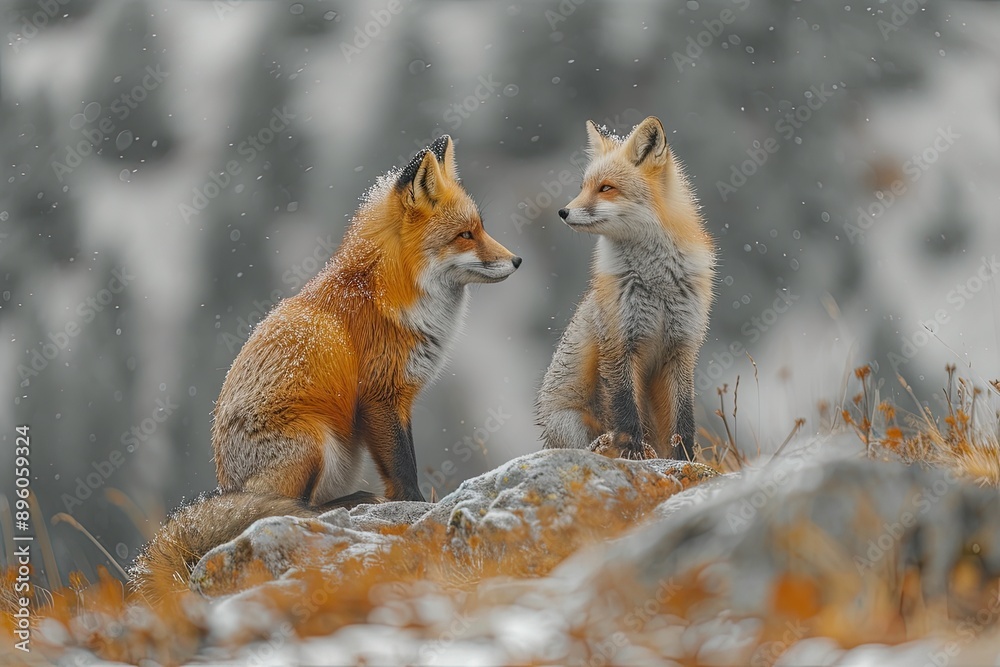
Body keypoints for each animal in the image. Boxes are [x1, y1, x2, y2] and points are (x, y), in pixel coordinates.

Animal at [131, 135, 521, 602]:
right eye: (465, 235)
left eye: (481, 228)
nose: (517, 260)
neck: (389, 294)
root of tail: (230, 484)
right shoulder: (379, 397)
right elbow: (403, 467)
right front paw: (418, 507)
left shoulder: (399, 400)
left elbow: (402, 461)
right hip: (314, 441)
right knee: (294, 510)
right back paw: (345, 505)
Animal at [536, 116, 715, 461]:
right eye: (583, 187)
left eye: (606, 188)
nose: (563, 212)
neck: (657, 284)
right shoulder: (618, 343)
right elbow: (625, 409)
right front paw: (632, 452)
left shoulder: (682, 347)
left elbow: (683, 420)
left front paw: (685, 461)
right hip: (570, 422)